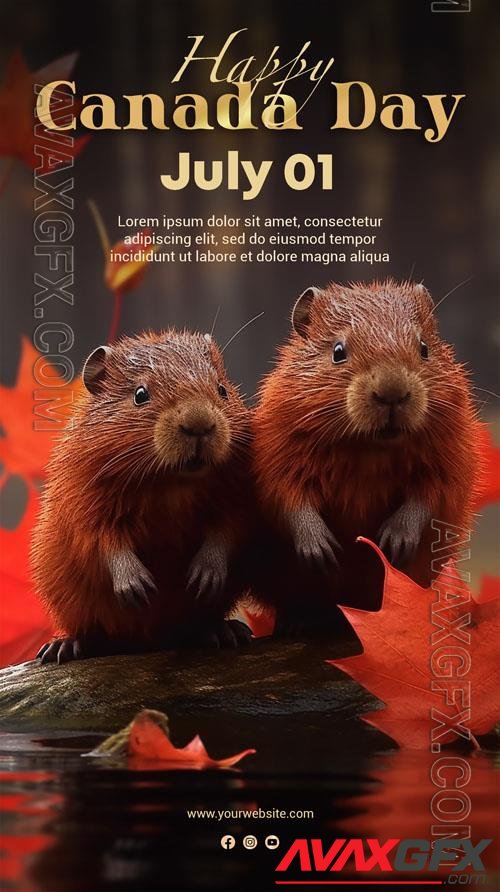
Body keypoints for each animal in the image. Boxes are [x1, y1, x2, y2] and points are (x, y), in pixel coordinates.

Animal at [30, 330, 254, 664]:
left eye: (222, 389)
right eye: (139, 394)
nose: (199, 424)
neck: (170, 483)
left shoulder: (235, 496)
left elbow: (226, 530)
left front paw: (204, 576)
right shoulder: (83, 501)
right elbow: (103, 541)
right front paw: (137, 586)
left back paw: (223, 630)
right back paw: (64, 646)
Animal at [250, 278, 484, 636]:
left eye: (424, 348)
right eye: (337, 351)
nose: (392, 393)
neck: (370, 448)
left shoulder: (450, 456)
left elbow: (429, 497)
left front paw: (395, 541)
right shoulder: (276, 450)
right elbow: (288, 499)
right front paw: (321, 549)